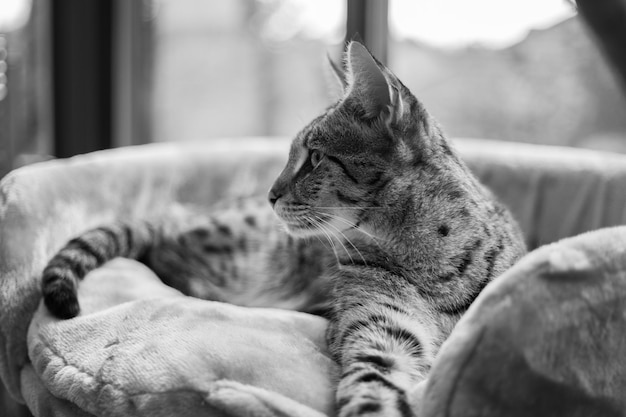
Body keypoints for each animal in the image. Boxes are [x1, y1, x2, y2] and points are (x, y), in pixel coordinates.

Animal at [41, 43, 524, 416]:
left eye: (314, 157)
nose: (270, 195)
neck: (429, 264)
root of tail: (187, 211)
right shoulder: (377, 324)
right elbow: (372, 377)